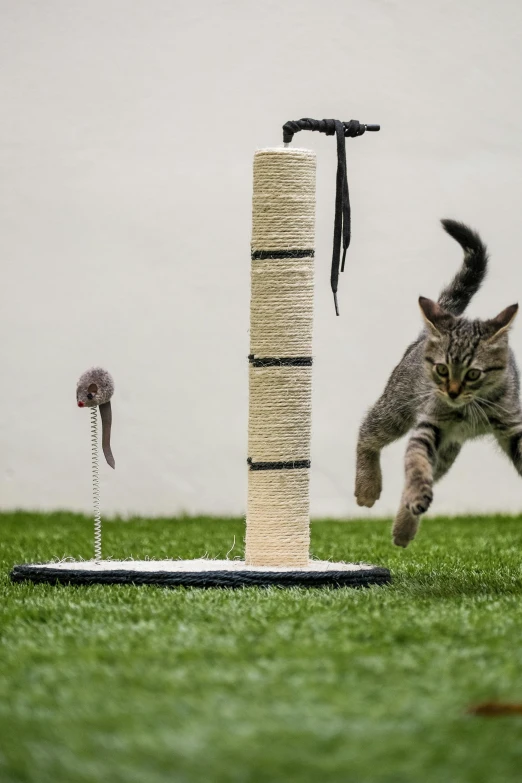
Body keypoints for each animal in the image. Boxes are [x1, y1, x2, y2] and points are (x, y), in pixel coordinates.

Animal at [352, 219, 516, 552]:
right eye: (442, 369)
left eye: (473, 374)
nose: (452, 391)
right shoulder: (430, 422)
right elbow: (415, 465)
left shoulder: (512, 423)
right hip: (397, 408)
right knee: (367, 434)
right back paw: (367, 487)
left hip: (447, 451)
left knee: (413, 482)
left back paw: (403, 528)